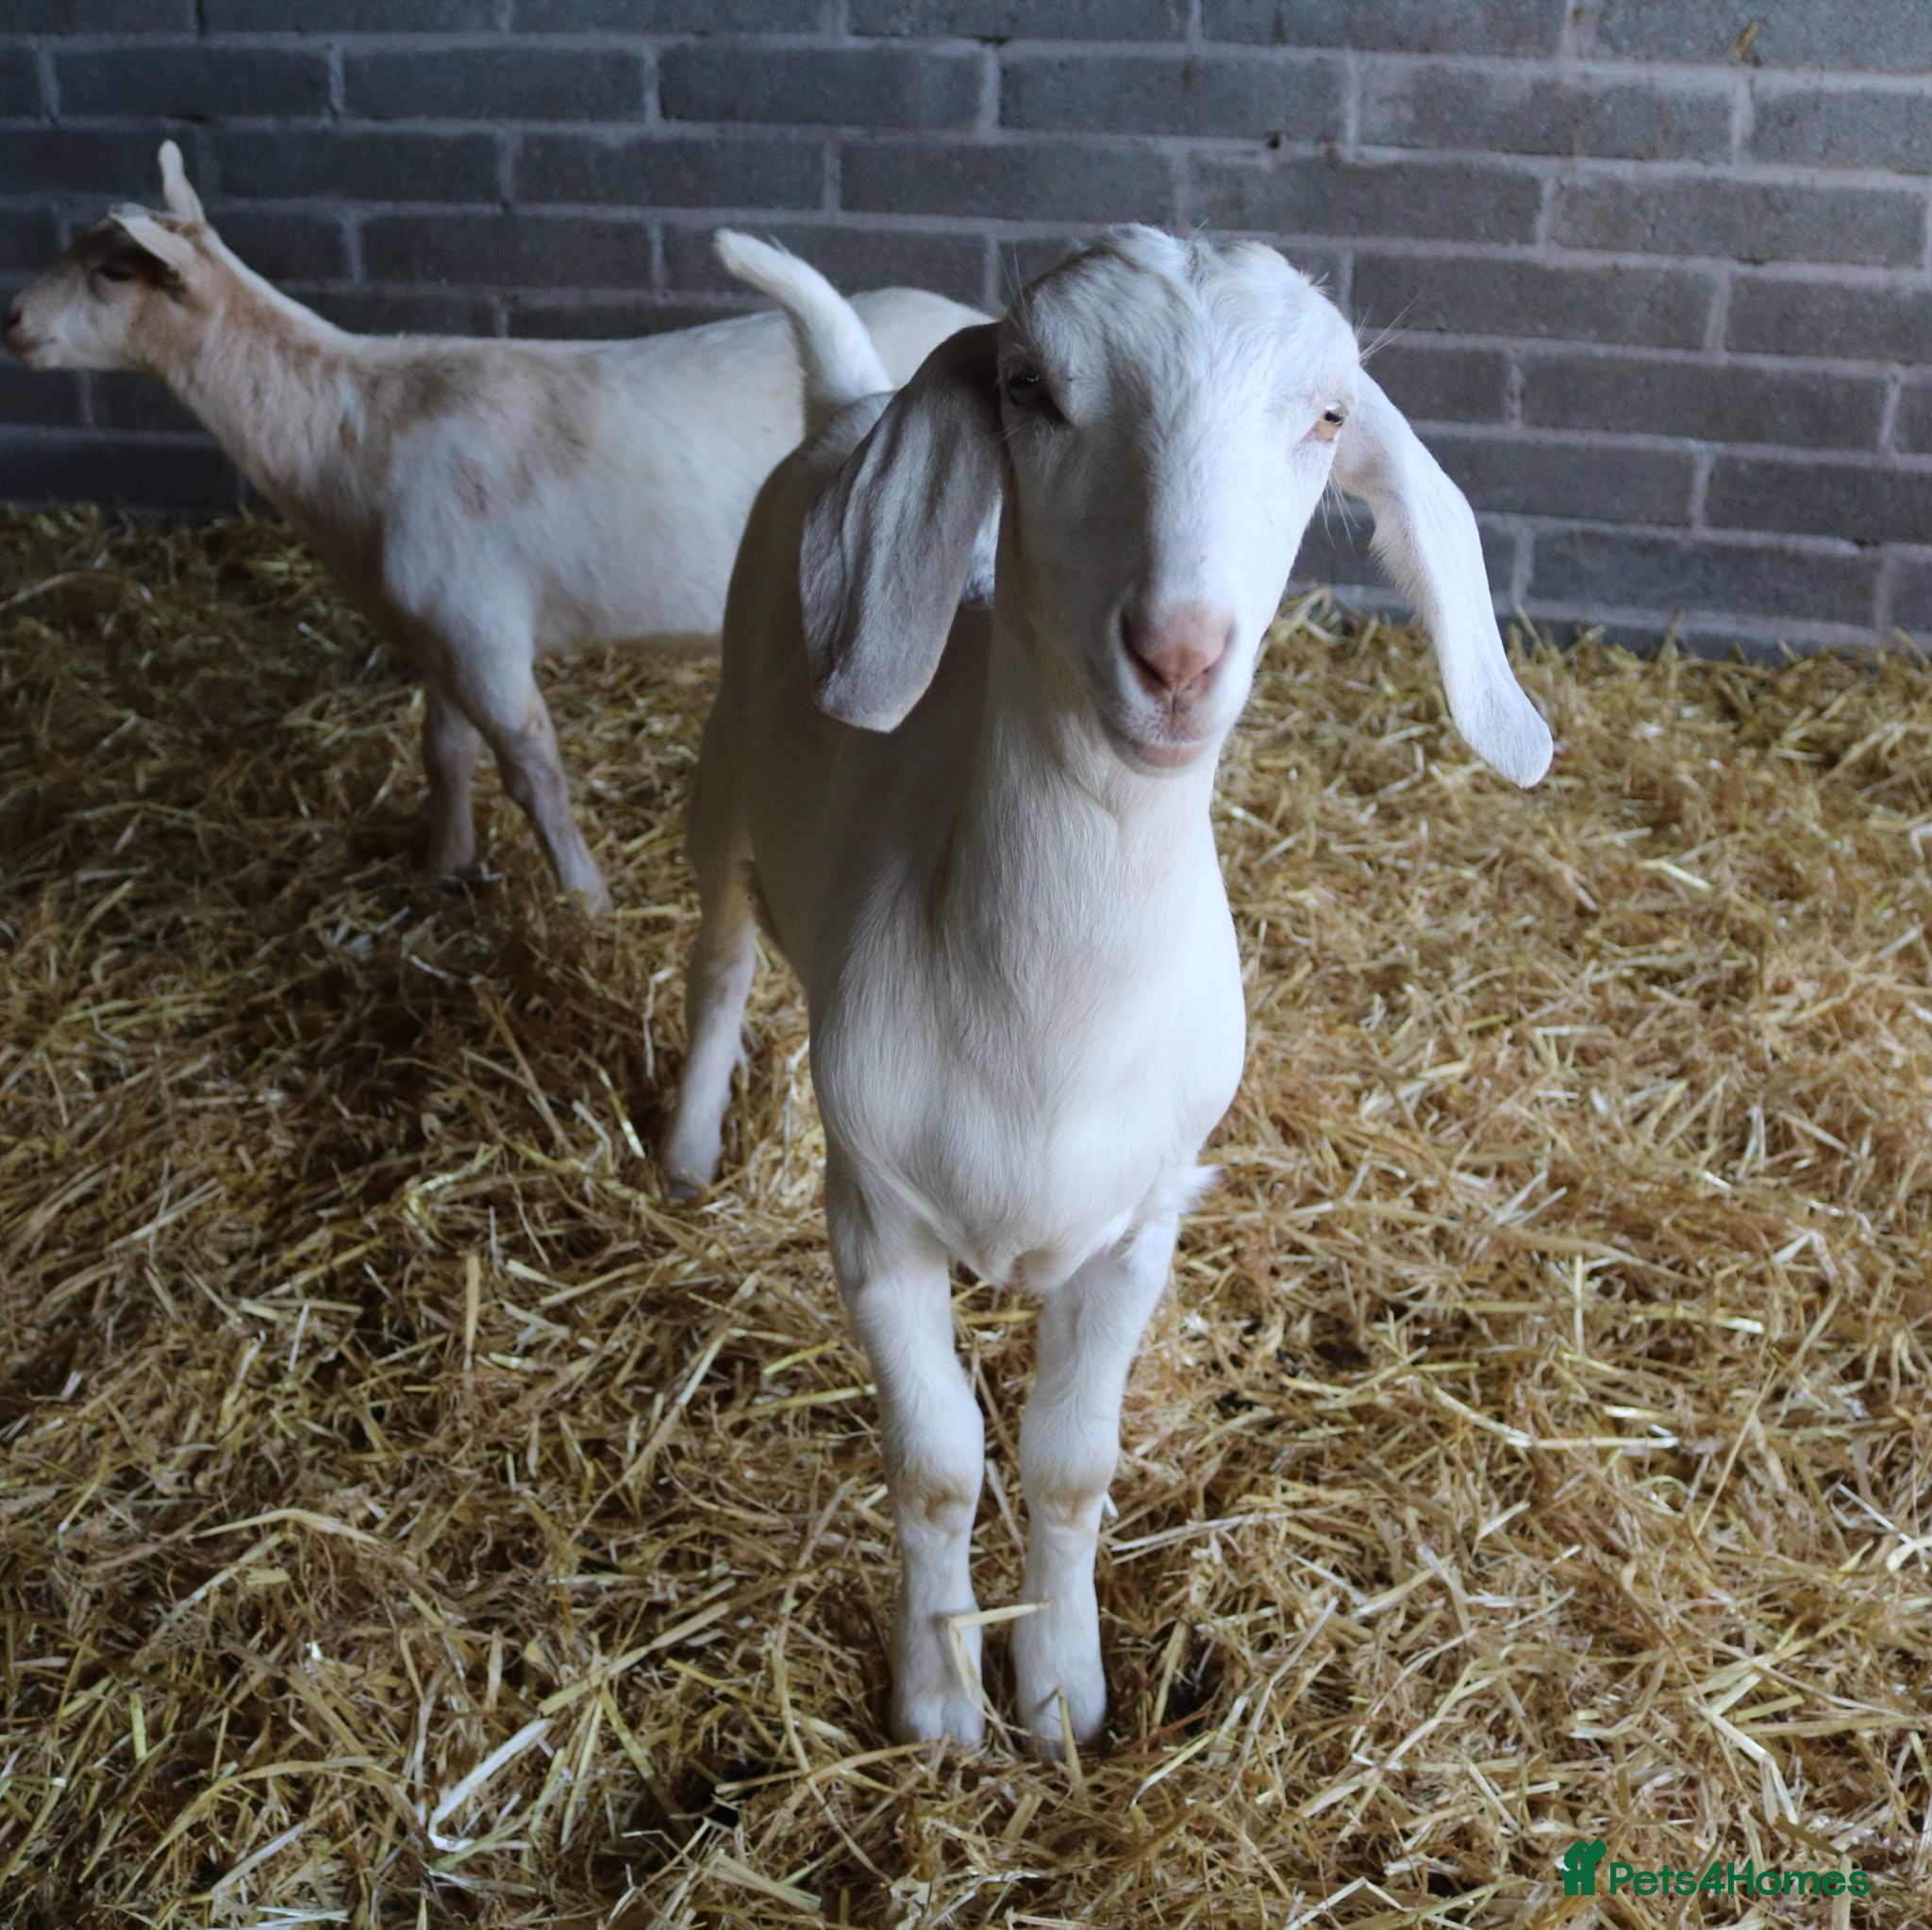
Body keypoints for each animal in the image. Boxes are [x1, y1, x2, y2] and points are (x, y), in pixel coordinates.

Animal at [2, 144, 985, 913]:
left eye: (114, 272)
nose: (11, 321)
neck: (350, 426)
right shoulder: (439, 630)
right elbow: (443, 753)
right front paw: (444, 865)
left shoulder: (481, 631)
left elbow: (532, 771)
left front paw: (585, 903)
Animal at [666, 225, 1552, 1755]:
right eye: (1031, 388)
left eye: (1327, 418)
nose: (1177, 654)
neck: (1044, 1023)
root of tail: (846, 403)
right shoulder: (873, 1217)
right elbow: (938, 1462)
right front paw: (939, 1701)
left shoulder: (1139, 1229)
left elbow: (1071, 1463)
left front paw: (1063, 1691)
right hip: (727, 760)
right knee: (721, 949)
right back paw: (686, 1142)